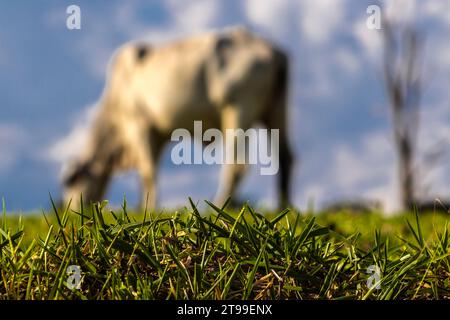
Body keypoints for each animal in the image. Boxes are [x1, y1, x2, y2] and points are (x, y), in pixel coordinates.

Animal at [64, 25, 296, 210]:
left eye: (71, 182)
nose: (71, 210)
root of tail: (270, 50)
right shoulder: (158, 134)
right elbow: (150, 171)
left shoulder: (139, 125)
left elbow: (147, 172)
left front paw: (148, 208)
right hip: (276, 110)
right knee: (286, 157)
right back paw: (283, 207)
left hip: (238, 110)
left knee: (237, 165)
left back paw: (219, 205)